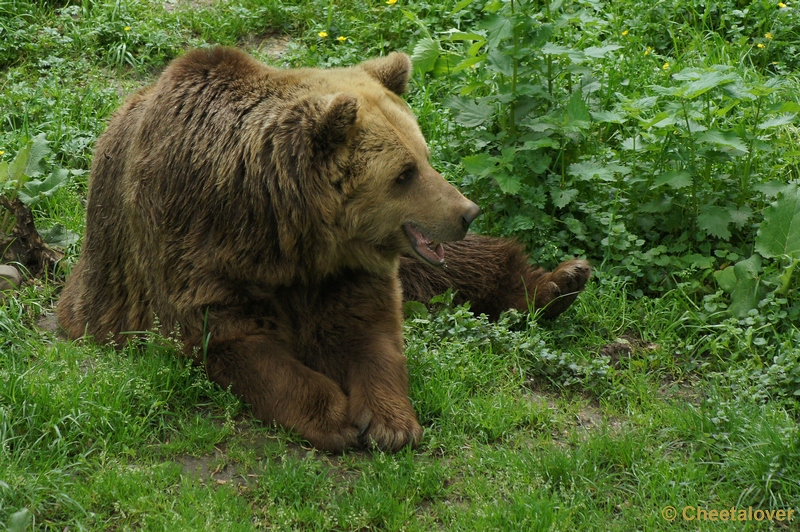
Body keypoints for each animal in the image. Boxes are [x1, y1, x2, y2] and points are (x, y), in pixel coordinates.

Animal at [57, 47, 588, 450]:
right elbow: (233, 340)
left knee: (461, 265)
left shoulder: (349, 268)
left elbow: (372, 333)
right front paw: (336, 416)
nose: (467, 211)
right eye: (404, 173)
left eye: (425, 155)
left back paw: (560, 282)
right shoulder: (193, 244)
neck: (284, 236)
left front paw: (391, 421)